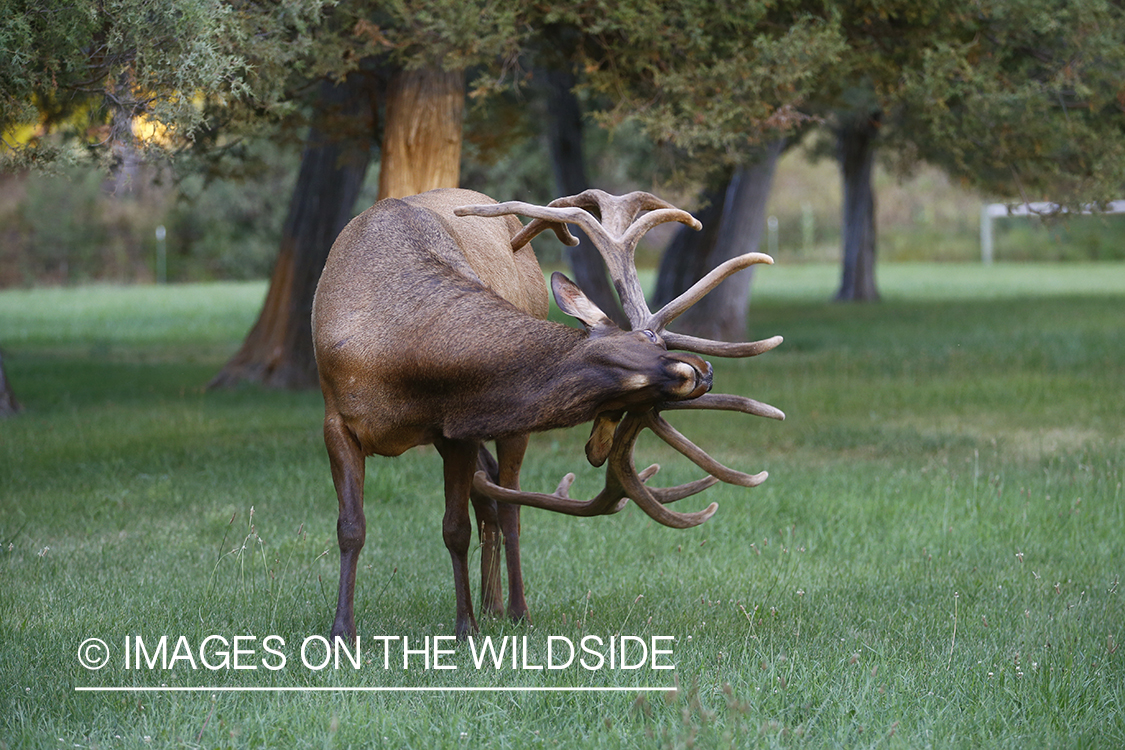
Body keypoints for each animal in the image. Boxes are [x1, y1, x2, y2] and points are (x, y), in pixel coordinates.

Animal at [308, 187, 783, 638]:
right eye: (646, 341)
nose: (704, 373)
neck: (400, 365)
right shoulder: (336, 420)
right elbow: (351, 527)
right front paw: (342, 631)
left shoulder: (455, 430)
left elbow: (455, 528)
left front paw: (466, 628)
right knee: (490, 495)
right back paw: (492, 603)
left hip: (501, 428)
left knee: (506, 504)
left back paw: (512, 609)